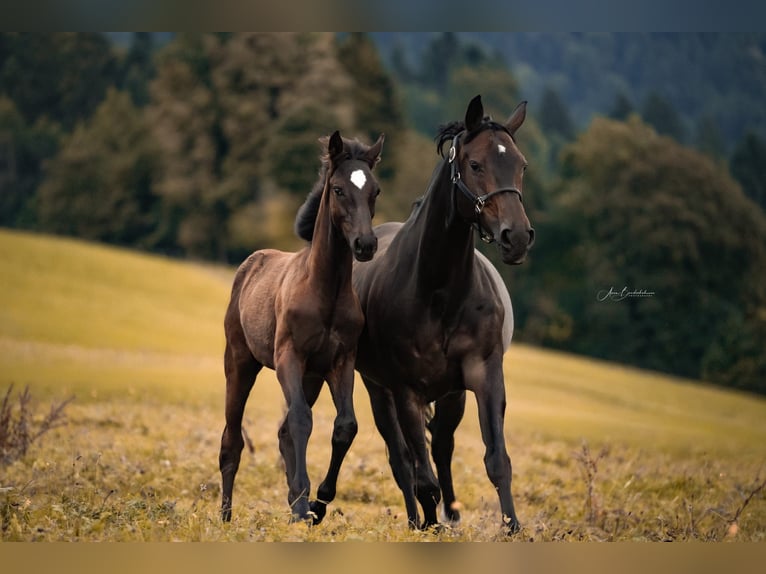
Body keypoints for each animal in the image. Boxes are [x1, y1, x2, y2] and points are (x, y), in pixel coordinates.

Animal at [219, 130, 385, 524]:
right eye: (338, 189)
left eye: (375, 190)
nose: (365, 244)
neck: (325, 290)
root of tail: (251, 263)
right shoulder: (288, 358)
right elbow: (300, 421)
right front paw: (302, 503)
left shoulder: (340, 362)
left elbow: (345, 426)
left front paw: (317, 503)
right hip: (240, 362)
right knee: (232, 437)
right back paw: (227, 515)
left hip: (311, 377)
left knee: (281, 433)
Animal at [352, 95, 533, 533]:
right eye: (476, 164)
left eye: (521, 165)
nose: (517, 237)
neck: (439, 293)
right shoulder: (405, 391)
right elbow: (421, 475)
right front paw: (429, 525)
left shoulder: (484, 376)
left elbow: (496, 460)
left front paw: (511, 526)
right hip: (378, 391)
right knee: (403, 460)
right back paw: (418, 520)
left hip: (452, 397)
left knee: (442, 448)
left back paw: (449, 514)